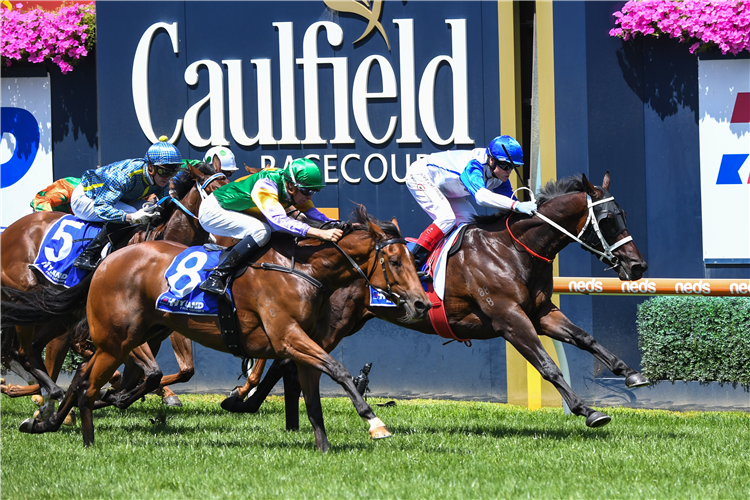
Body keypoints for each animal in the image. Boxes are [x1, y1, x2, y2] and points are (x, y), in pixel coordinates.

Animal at [0, 160, 229, 406]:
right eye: (216, 192)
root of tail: (10, 230)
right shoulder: (125, 329)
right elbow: (148, 372)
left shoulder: (161, 327)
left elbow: (156, 374)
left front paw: (117, 395)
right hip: (25, 291)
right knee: (26, 350)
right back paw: (50, 391)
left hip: (57, 312)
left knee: (29, 349)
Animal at [0, 205, 432, 452]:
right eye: (395, 261)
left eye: (413, 260)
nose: (421, 304)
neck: (305, 269)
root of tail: (105, 261)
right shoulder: (288, 337)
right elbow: (338, 369)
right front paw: (373, 421)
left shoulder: (301, 343)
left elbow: (312, 396)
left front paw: (323, 446)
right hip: (116, 338)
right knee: (82, 381)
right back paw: (81, 435)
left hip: (135, 335)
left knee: (81, 379)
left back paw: (46, 421)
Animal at [229, 174, 652, 428]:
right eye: (608, 219)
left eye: (623, 213)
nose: (637, 266)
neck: (512, 249)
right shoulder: (509, 317)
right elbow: (547, 365)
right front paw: (588, 411)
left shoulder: (540, 311)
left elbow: (585, 338)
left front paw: (631, 373)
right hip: (334, 323)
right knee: (287, 358)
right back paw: (244, 402)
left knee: (288, 360)